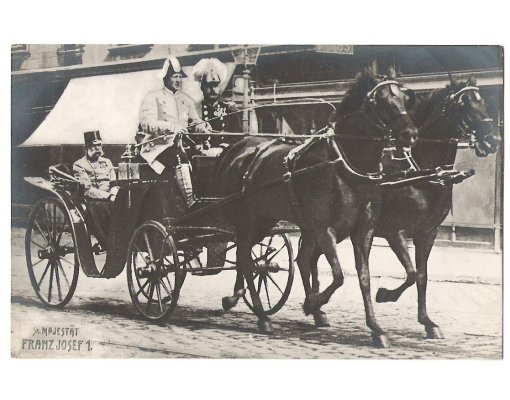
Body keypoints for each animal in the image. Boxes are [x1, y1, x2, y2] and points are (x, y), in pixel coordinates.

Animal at [214, 67, 418, 346]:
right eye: (381, 100)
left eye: (406, 98)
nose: (410, 134)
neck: (344, 164)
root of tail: (237, 149)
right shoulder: (324, 228)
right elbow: (338, 275)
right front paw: (311, 303)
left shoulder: (363, 230)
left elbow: (364, 277)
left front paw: (376, 327)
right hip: (249, 220)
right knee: (246, 258)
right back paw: (262, 315)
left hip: (264, 221)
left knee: (251, 258)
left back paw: (242, 301)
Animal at [370, 75, 500, 339]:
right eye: (463, 104)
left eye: (482, 101)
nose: (493, 140)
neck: (420, 172)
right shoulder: (394, 232)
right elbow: (411, 273)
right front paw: (385, 294)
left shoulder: (427, 233)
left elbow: (422, 276)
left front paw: (428, 322)